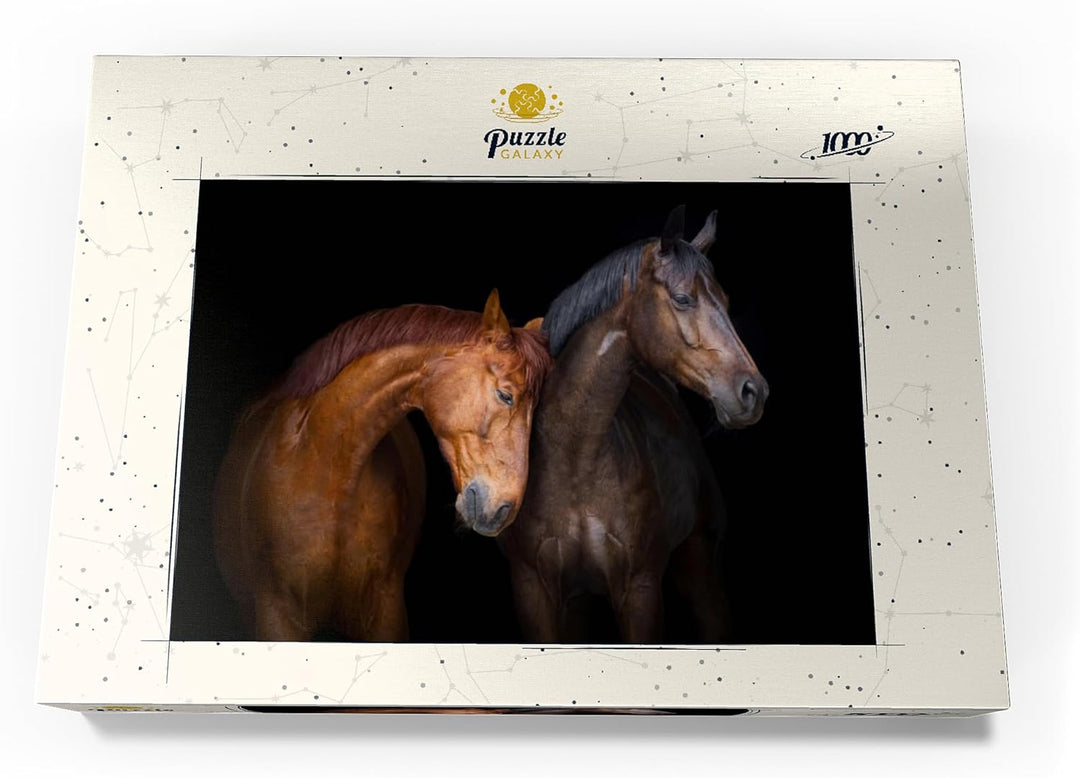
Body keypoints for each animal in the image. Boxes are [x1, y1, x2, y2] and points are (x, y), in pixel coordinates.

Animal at [500, 207, 768, 644]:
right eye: (682, 298)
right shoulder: (534, 590)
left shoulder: (640, 591)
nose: (753, 392)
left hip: (702, 577)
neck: (576, 457)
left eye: (726, 302)